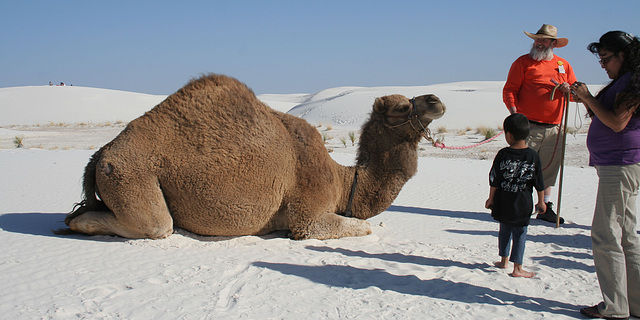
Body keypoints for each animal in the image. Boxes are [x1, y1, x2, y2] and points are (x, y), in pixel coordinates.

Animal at [61, 74, 444, 240]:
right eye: (399, 108)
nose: (436, 100)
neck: (341, 182)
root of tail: (100, 154)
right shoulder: (309, 215)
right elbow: (362, 226)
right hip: (129, 173)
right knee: (156, 225)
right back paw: (78, 224)